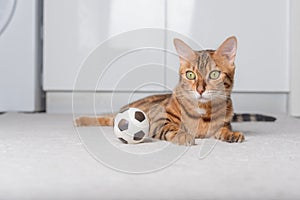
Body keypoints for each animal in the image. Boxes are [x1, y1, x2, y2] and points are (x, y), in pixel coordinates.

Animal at [74, 36, 274, 145]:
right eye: (191, 75)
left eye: (214, 74)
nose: (200, 90)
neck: (204, 113)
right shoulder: (159, 120)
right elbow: (171, 128)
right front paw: (182, 135)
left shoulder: (224, 123)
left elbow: (223, 129)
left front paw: (231, 134)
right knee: (107, 118)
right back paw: (80, 120)